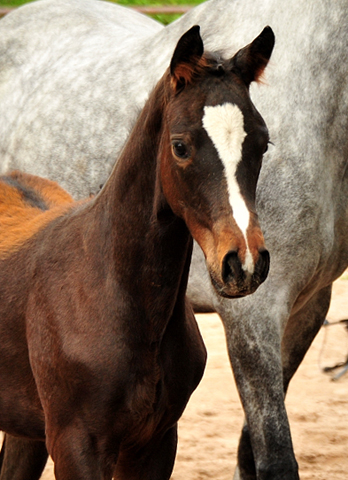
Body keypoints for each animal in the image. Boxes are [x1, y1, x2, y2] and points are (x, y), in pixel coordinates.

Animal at [2, 0, 348, 480]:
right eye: (180, 146)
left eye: (263, 143)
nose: (244, 262)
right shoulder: (255, 314)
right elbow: (275, 457)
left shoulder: (309, 306)